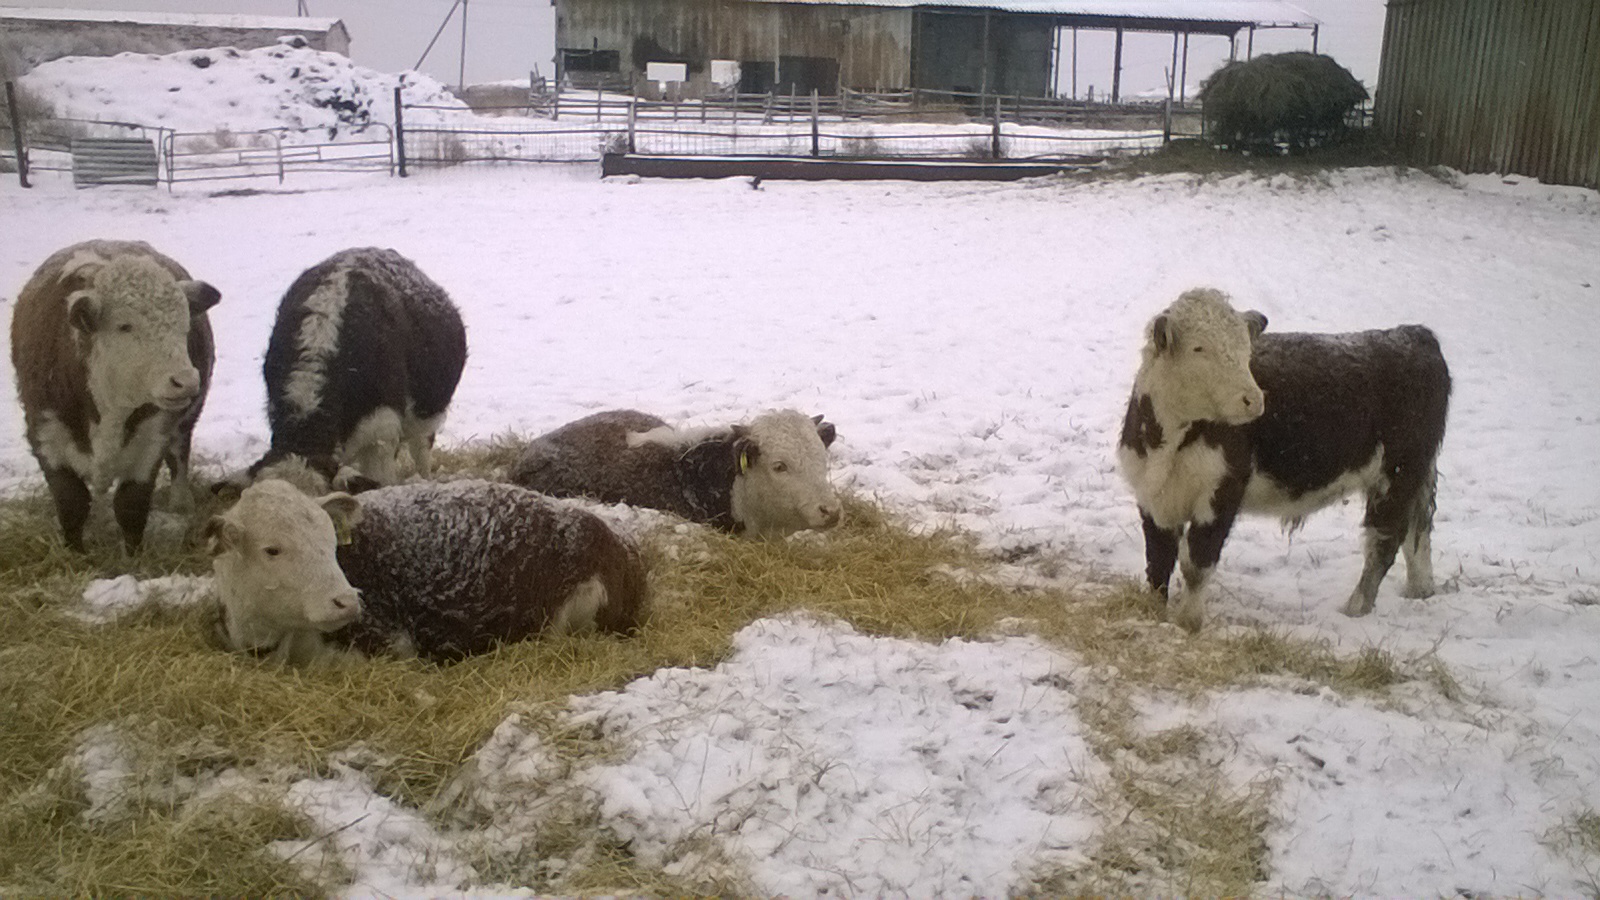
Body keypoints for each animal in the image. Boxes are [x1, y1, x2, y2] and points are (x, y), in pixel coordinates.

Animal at [10, 238, 219, 550]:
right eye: (124, 326)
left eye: (185, 322)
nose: (186, 381)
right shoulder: (46, 436)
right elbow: (71, 503)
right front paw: (76, 553)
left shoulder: (151, 440)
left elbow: (131, 506)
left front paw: (133, 554)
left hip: (186, 419)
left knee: (179, 453)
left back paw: (181, 503)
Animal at [1113, 286, 1452, 630]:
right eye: (1198, 347)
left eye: (1245, 346)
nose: (1253, 399)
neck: (1166, 445)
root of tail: (1412, 334)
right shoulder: (1153, 498)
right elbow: (1158, 561)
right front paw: (1153, 613)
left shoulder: (1223, 492)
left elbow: (1196, 563)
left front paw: (1188, 622)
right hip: (1413, 474)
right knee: (1418, 528)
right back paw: (1420, 589)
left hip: (1396, 474)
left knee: (1383, 541)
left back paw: (1356, 608)